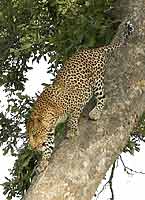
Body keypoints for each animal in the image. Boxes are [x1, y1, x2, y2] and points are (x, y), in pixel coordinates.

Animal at [25, 20, 134, 170]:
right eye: (29, 137)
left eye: (35, 134)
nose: (32, 148)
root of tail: (94, 50)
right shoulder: (50, 131)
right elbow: (49, 146)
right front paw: (44, 161)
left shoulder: (76, 103)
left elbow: (72, 118)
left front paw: (72, 131)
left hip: (97, 80)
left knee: (103, 97)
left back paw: (95, 113)